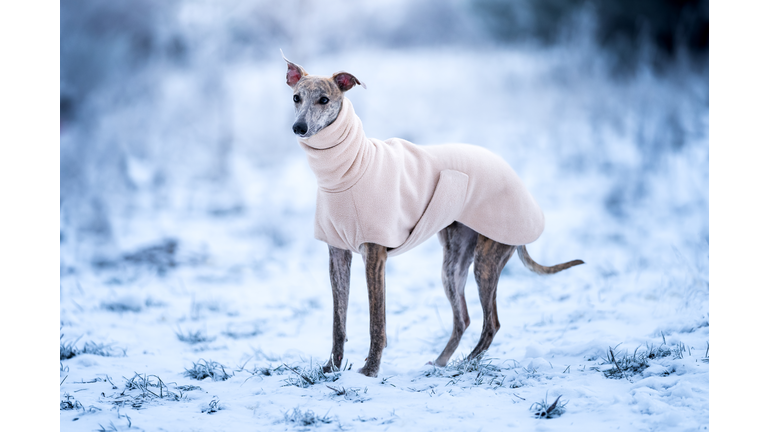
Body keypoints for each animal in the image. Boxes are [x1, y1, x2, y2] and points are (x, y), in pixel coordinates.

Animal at [284, 54, 584, 378]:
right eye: (296, 97)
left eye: (324, 99)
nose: (299, 127)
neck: (348, 167)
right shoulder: (338, 254)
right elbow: (338, 322)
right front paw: (331, 368)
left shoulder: (375, 256)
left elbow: (377, 322)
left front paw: (370, 371)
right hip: (453, 265)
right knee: (463, 318)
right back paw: (442, 362)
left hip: (486, 261)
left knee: (491, 322)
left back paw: (465, 364)